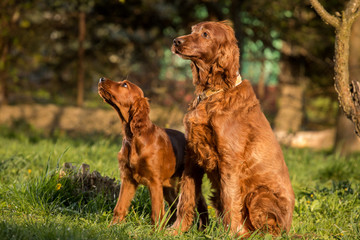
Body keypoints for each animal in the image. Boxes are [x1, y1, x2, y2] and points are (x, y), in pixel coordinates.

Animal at [97, 77, 208, 227]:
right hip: (167, 185)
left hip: (188, 179)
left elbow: (156, 212)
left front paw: (155, 230)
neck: (134, 137)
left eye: (125, 85)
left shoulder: (154, 181)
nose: (101, 78)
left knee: (201, 203)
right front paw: (113, 227)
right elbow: (119, 207)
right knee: (174, 205)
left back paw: (203, 227)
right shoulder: (128, 179)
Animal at [170, 21, 294, 236]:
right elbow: (185, 199)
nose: (176, 41)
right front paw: (175, 231)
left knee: (269, 233)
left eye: (205, 34)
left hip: (259, 195)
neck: (212, 94)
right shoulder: (192, 155)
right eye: (192, 30)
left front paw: (231, 235)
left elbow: (231, 201)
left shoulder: (229, 160)